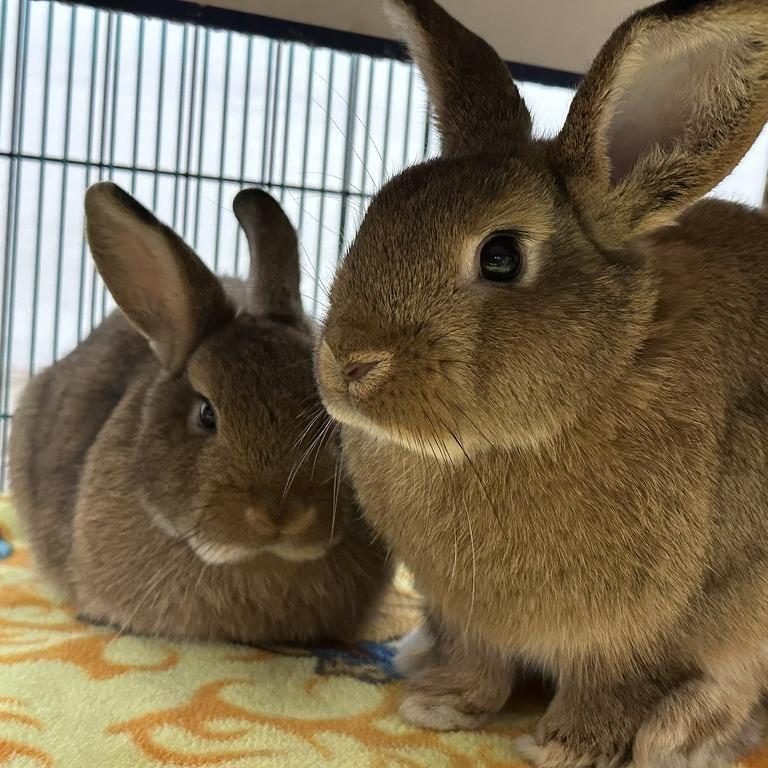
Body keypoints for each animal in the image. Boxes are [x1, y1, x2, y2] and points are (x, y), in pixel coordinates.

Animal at [314, 0, 768, 765]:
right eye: (375, 212)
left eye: (501, 257)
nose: (350, 361)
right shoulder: (466, 617)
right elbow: (479, 663)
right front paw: (440, 704)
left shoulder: (654, 630)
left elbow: (618, 685)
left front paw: (571, 746)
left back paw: (683, 731)